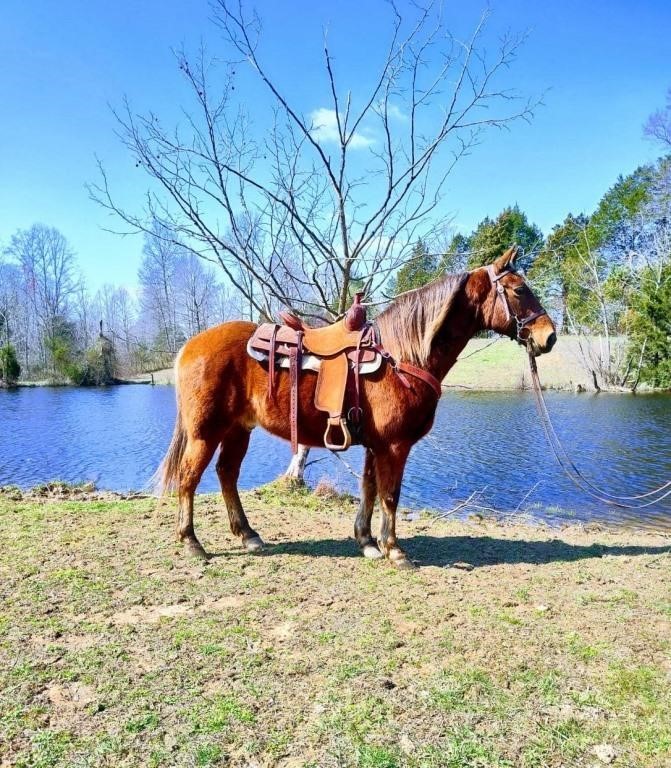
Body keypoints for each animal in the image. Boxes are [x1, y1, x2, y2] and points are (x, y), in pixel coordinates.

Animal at [158, 246, 556, 568]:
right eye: (519, 290)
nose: (549, 336)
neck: (402, 355)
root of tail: (189, 346)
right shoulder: (394, 446)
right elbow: (390, 495)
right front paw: (394, 550)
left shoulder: (375, 445)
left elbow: (368, 488)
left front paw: (367, 542)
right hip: (205, 433)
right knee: (189, 478)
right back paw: (192, 542)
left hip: (238, 430)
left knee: (227, 473)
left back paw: (248, 535)